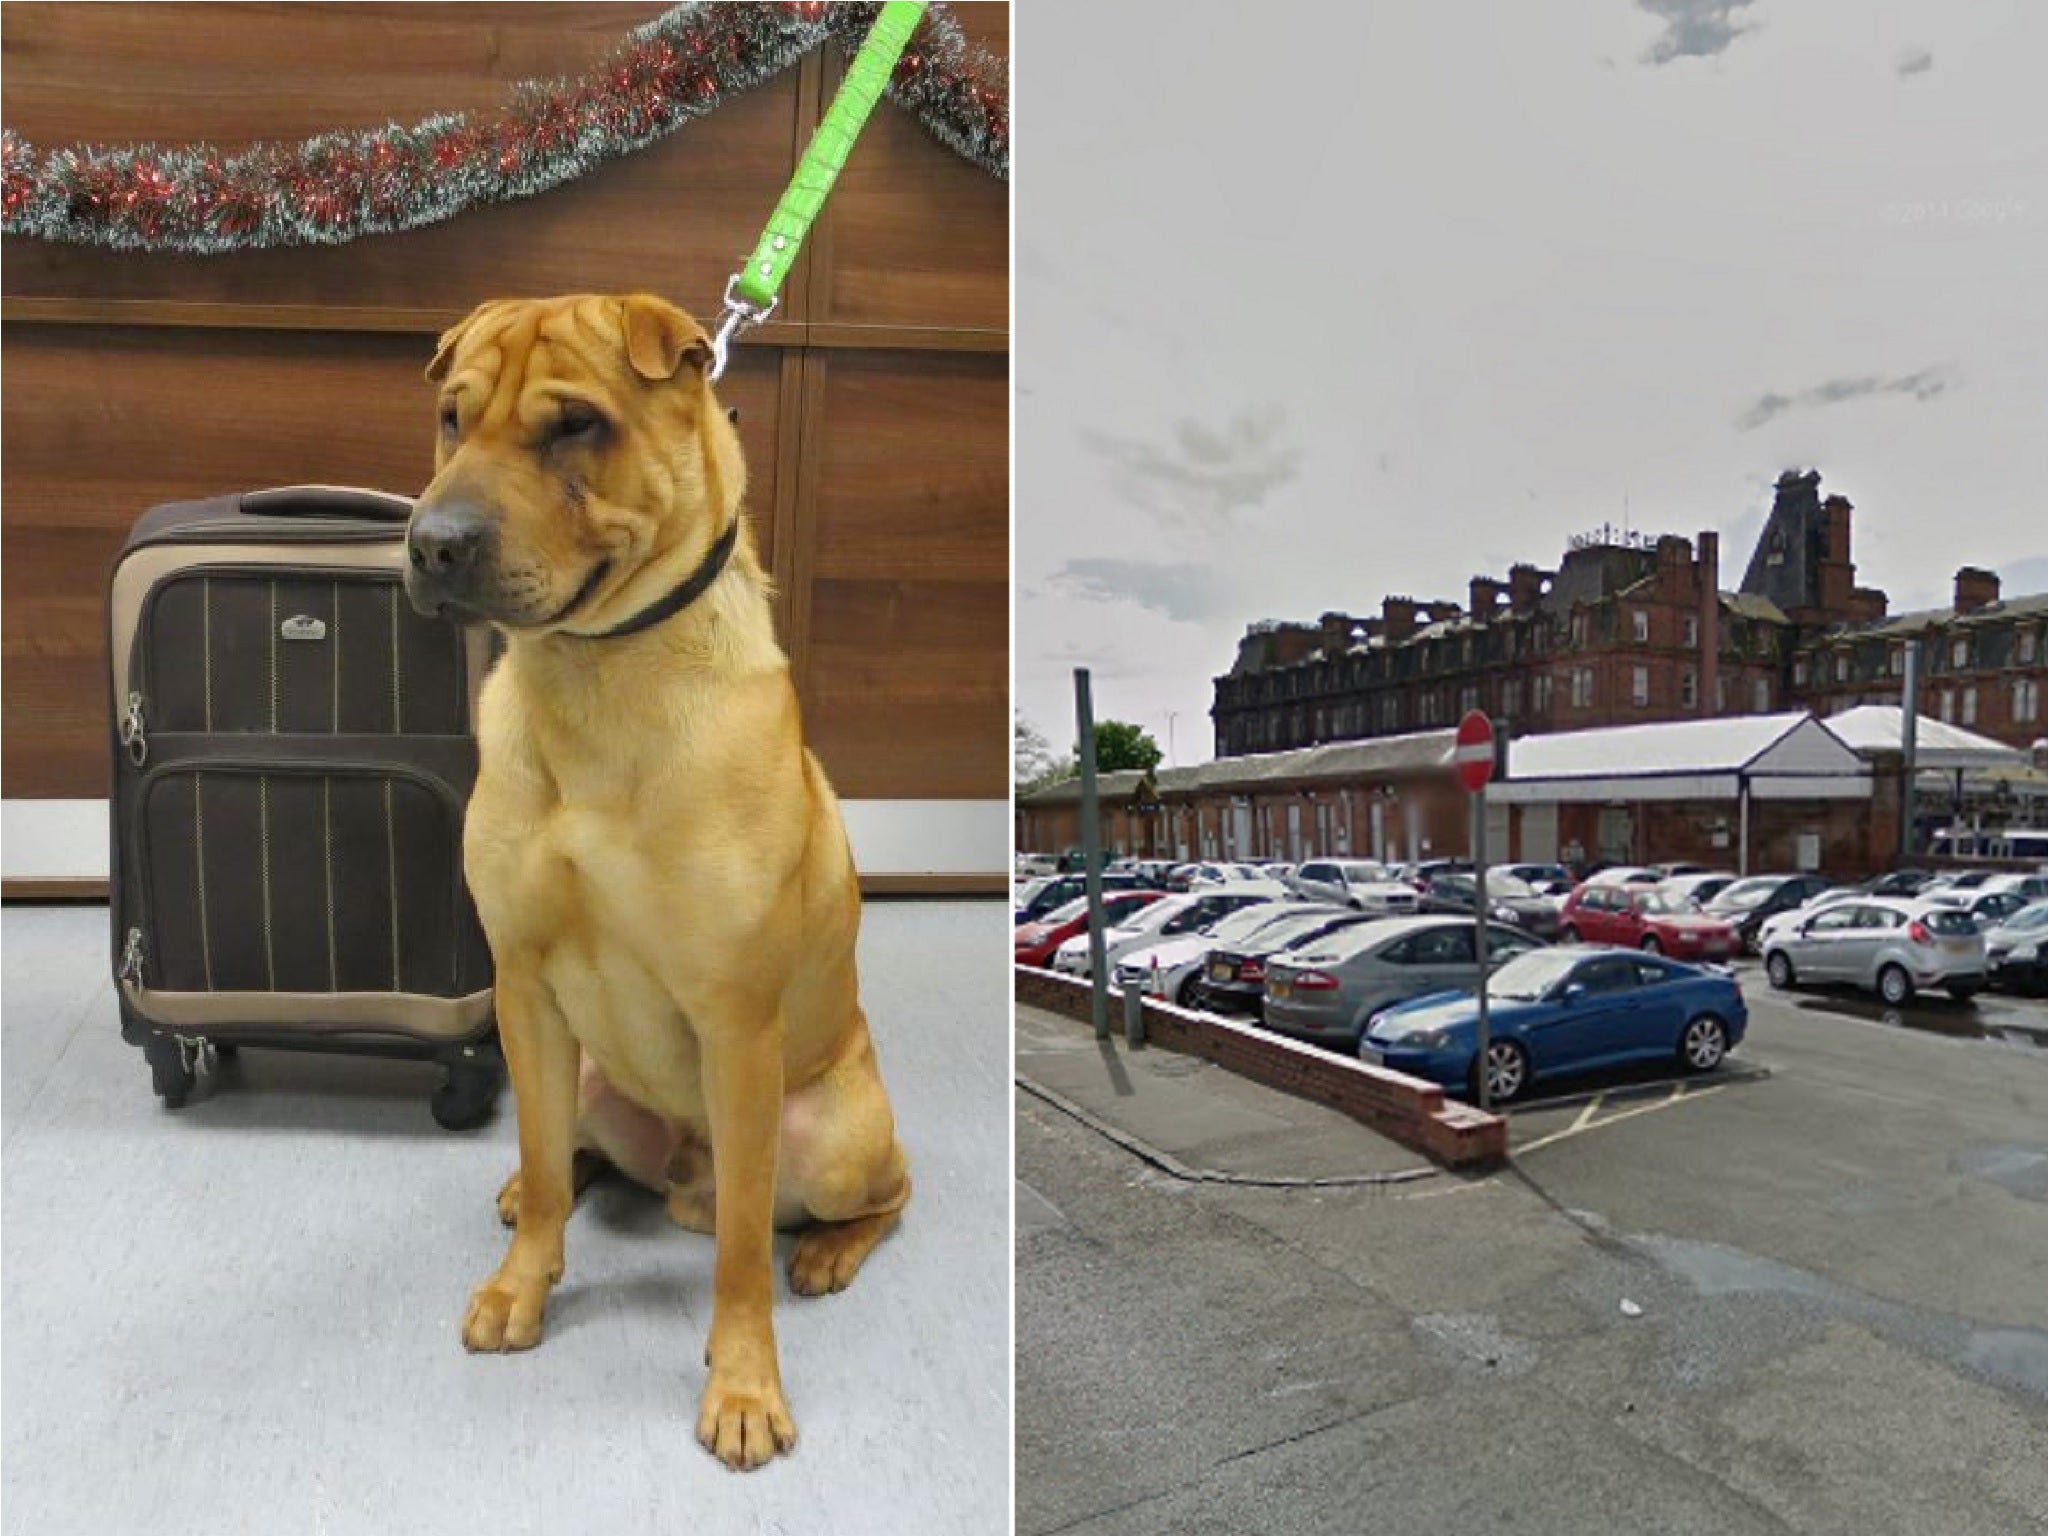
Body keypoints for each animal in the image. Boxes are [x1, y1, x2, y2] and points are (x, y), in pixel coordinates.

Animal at [401, 294, 913, 1474]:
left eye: (575, 426)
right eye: (453, 418)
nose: (432, 543)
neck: (594, 675)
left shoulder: (734, 1024)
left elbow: (739, 1256)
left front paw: (743, 1384)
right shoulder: (524, 986)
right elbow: (546, 1163)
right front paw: (523, 1285)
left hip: (834, 1139)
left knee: (875, 1194)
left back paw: (829, 1252)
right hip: (591, 1077)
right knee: (571, 1154)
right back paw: (531, 1197)